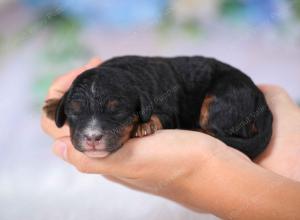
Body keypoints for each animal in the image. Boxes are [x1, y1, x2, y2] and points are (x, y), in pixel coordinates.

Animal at [44, 55, 272, 159]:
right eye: (74, 111)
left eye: (117, 111)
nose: (92, 138)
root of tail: (260, 98)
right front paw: (52, 105)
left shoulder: (169, 111)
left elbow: (160, 116)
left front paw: (144, 125)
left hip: (221, 100)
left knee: (218, 131)